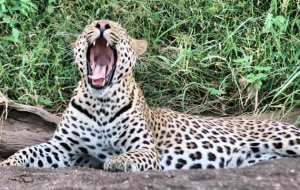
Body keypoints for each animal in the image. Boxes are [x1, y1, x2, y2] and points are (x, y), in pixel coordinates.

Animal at [0, 19, 300, 172]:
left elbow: (129, 156)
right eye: (89, 25)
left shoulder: (145, 149)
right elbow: (29, 151)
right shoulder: (63, 147)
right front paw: (9, 163)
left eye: (118, 27)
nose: (102, 24)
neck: (101, 103)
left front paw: (116, 161)